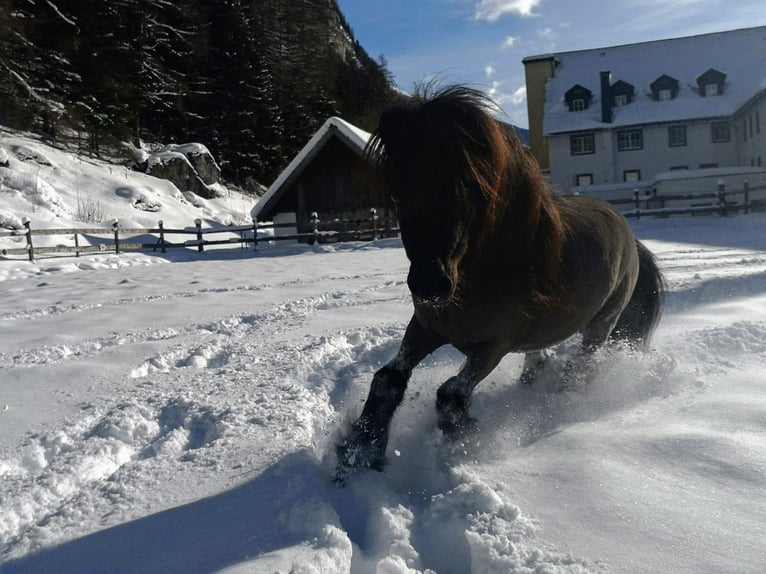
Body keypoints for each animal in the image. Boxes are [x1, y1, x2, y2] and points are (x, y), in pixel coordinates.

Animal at [336, 85, 664, 482]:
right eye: (396, 191)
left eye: (468, 188)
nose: (429, 285)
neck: (477, 276)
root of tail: (631, 237)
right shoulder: (426, 327)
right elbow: (388, 379)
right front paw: (359, 451)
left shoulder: (493, 345)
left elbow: (451, 394)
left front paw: (464, 443)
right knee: (541, 355)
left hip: (601, 325)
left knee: (580, 369)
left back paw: (559, 403)